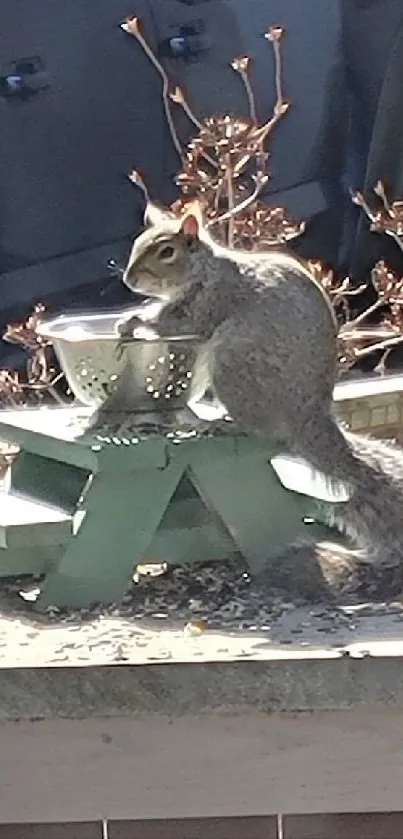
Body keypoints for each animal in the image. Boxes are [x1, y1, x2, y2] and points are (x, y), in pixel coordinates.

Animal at [118, 205, 403, 576]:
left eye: (167, 251)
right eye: (138, 243)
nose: (129, 280)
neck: (205, 270)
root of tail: (307, 416)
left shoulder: (209, 303)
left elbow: (174, 324)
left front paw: (134, 320)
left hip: (234, 365)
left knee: (257, 429)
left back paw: (216, 423)